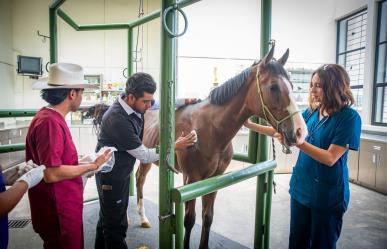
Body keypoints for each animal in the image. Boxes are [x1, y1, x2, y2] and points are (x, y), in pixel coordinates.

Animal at [88, 45, 310, 249]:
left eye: (292, 85)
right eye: (273, 87)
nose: (300, 132)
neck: (210, 128)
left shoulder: (214, 179)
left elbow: (207, 217)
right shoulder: (192, 178)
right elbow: (189, 220)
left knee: (138, 179)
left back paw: (142, 218)